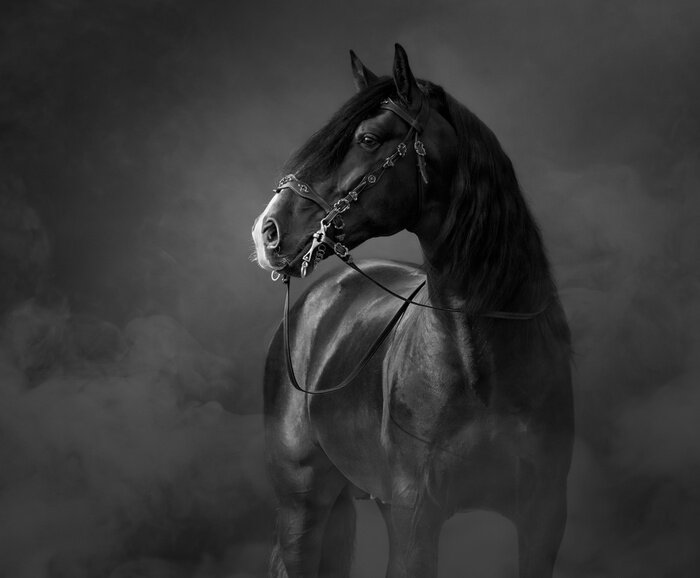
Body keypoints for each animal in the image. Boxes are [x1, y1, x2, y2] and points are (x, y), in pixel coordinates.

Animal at [251, 44, 573, 578]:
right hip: (302, 504)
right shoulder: (415, 518)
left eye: (367, 138)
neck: (480, 368)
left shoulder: (543, 518)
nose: (268, 231)